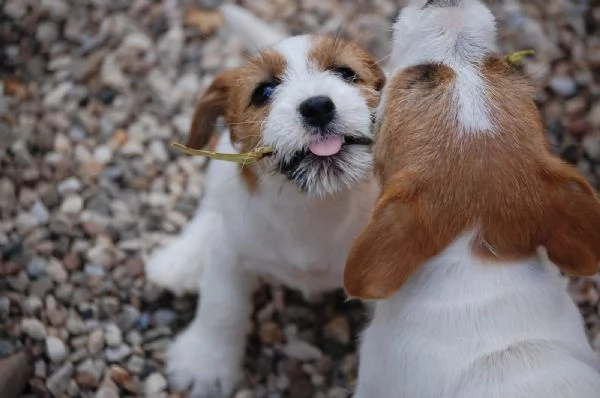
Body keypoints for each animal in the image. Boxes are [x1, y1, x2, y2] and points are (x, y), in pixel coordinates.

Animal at [144, 3, 384, 398]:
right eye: (264, 91)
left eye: (345, 74)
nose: (318, 106)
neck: (314, 206)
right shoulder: (230, 252)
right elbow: (221, 306)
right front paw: (204, 364)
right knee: (212, 209)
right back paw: (182, 260)